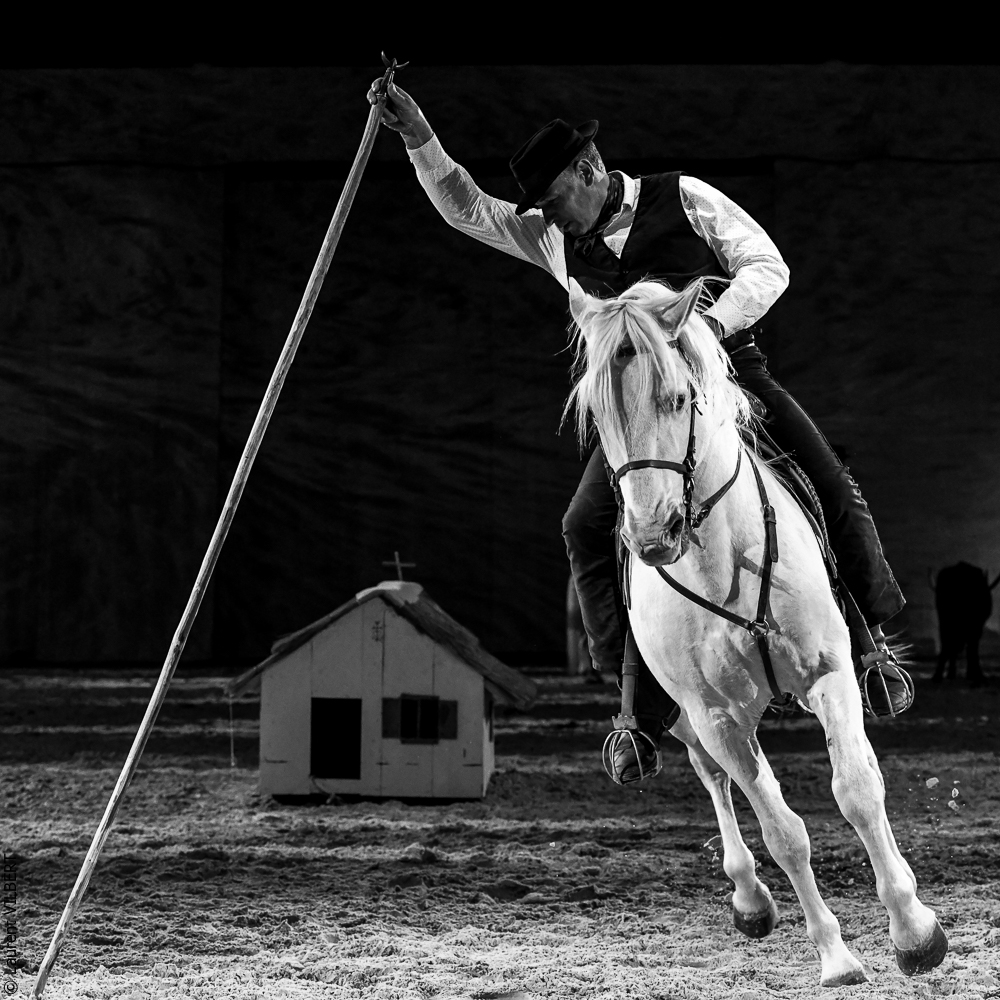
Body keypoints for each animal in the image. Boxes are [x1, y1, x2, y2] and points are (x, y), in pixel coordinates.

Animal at [565, 277, 948, 987]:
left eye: (678, 398)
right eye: (598, 415)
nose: (654, 535)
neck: (721, 560)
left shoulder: (829, 673)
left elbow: (858, 791)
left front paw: (914, 932)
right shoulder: (714, 715)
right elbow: (782, 830)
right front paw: (835, 956)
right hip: (688, 718)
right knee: (714, 778)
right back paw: (749, 899)